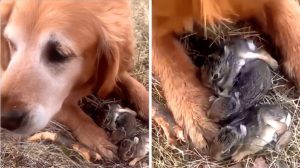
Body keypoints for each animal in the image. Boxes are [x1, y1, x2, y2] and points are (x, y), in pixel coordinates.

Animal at [0, 0, 148, 161]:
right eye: (11, 43)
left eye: (59, 54)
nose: (4, 119)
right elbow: (74, 113)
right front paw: (98, 139)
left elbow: (132, 84)